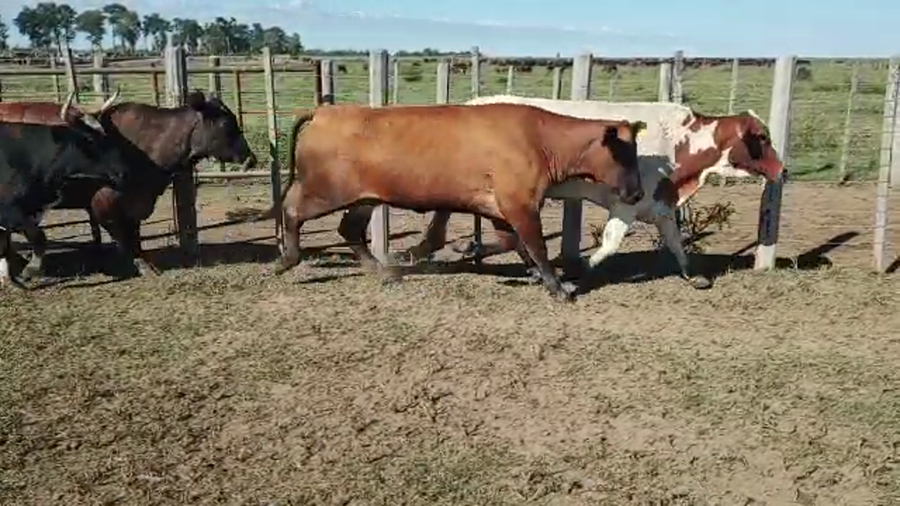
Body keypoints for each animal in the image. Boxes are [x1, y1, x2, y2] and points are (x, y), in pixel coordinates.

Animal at [0, 93, 172, 287]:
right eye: (88, 139)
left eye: (106, 136)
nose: (125, 172)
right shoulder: (9, 210)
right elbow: (38, 238)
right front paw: (29, 270)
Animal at [225, 102, 646, 302]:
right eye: (624, 153)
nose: (638, 193)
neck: (541, 139)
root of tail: (325, 111)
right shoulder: (520, 204)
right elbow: (536, 246)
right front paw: (558, 287)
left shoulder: (501, 208)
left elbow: (516, 244)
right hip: (323, 189)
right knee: (293, 210)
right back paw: (287, 259)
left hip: (363, 197)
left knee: (350, 229)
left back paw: (384, 271)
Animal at [403, 95, 785, 290]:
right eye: (762, 137)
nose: (782, 170)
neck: (680, 142)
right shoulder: (626, 204)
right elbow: (611, 243)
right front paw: (580, 270)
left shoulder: (660, 206)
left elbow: (677, 244)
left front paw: (694, 277)